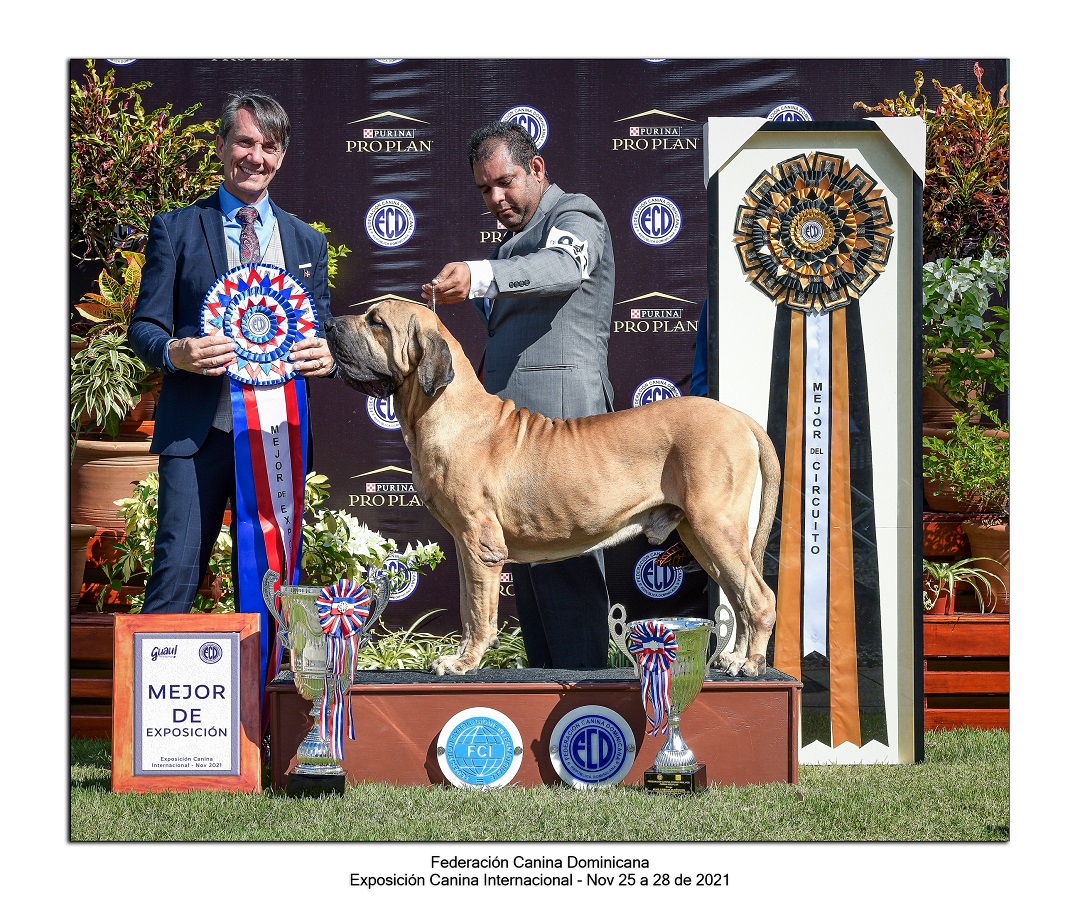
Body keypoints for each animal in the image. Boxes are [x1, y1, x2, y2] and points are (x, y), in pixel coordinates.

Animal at [319, 300, 777, 674]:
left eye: (376, 322)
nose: (328, 323)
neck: (442, 409)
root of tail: (737, 415)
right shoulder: (465, 544)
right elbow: (468, 605)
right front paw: (460, 656)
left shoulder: (480, 542)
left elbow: (479, 611)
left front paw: (465, 663)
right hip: (700, 535)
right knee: (738, 596)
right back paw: (734, 657)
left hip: (716, 526)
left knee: (759, 597)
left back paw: (751, 664)